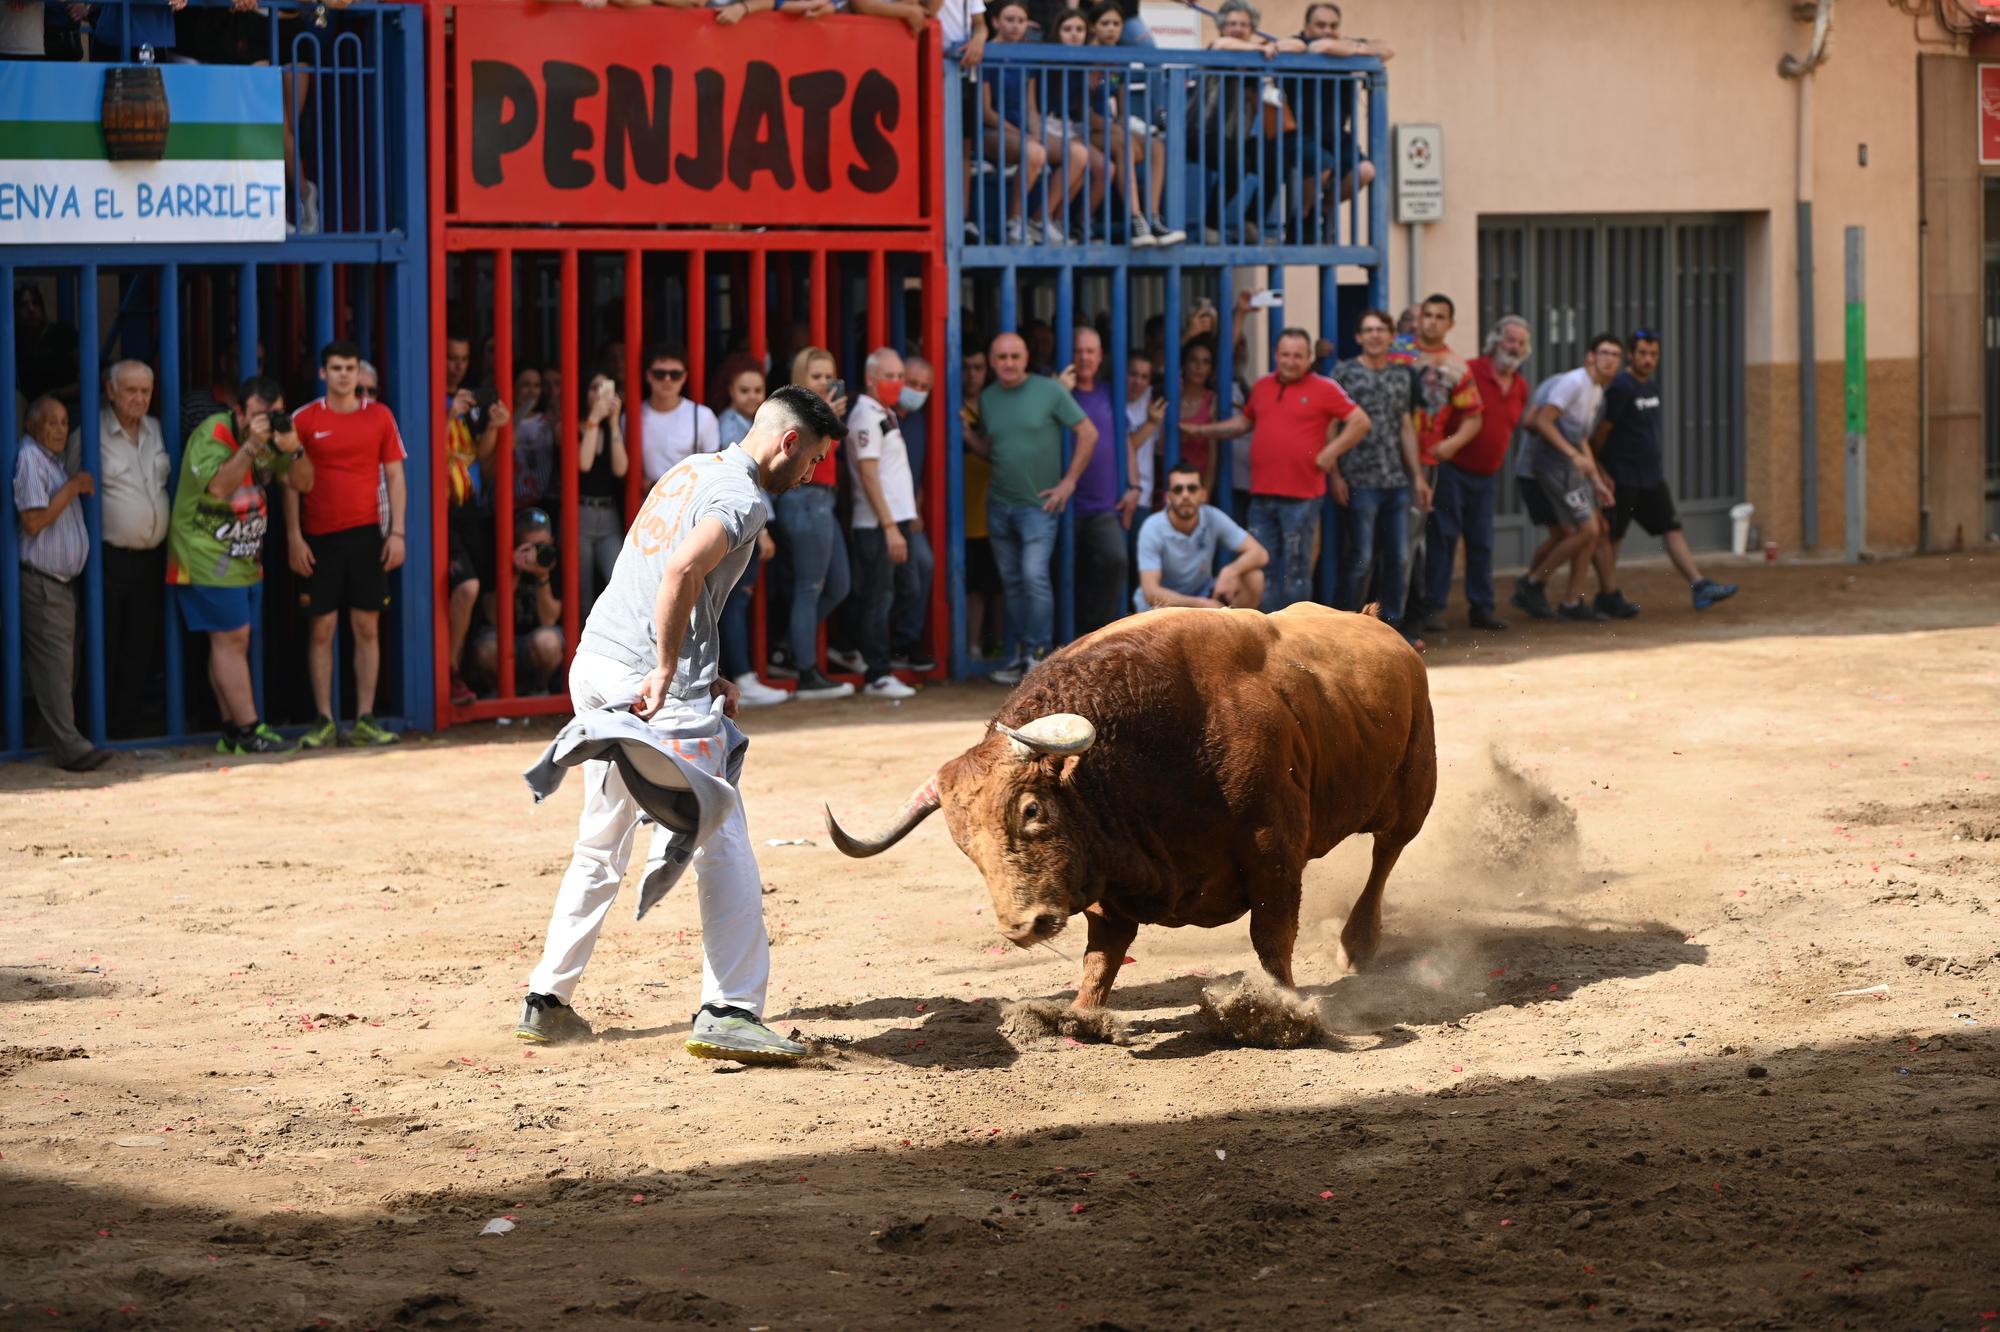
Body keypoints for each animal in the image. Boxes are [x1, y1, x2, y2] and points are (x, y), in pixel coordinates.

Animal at [828, 608, 1440, 1012]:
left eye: (1032, 810)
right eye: (964, 846)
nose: (1022, 927)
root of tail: (1381, 627)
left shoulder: (1275, 858)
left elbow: (1271, 937)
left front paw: (1281, 1009)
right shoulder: (1106, 878)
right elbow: (1103, 953)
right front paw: (1080, 1014)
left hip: (1415, 792)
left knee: (1386, 854)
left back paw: (1357, 946)